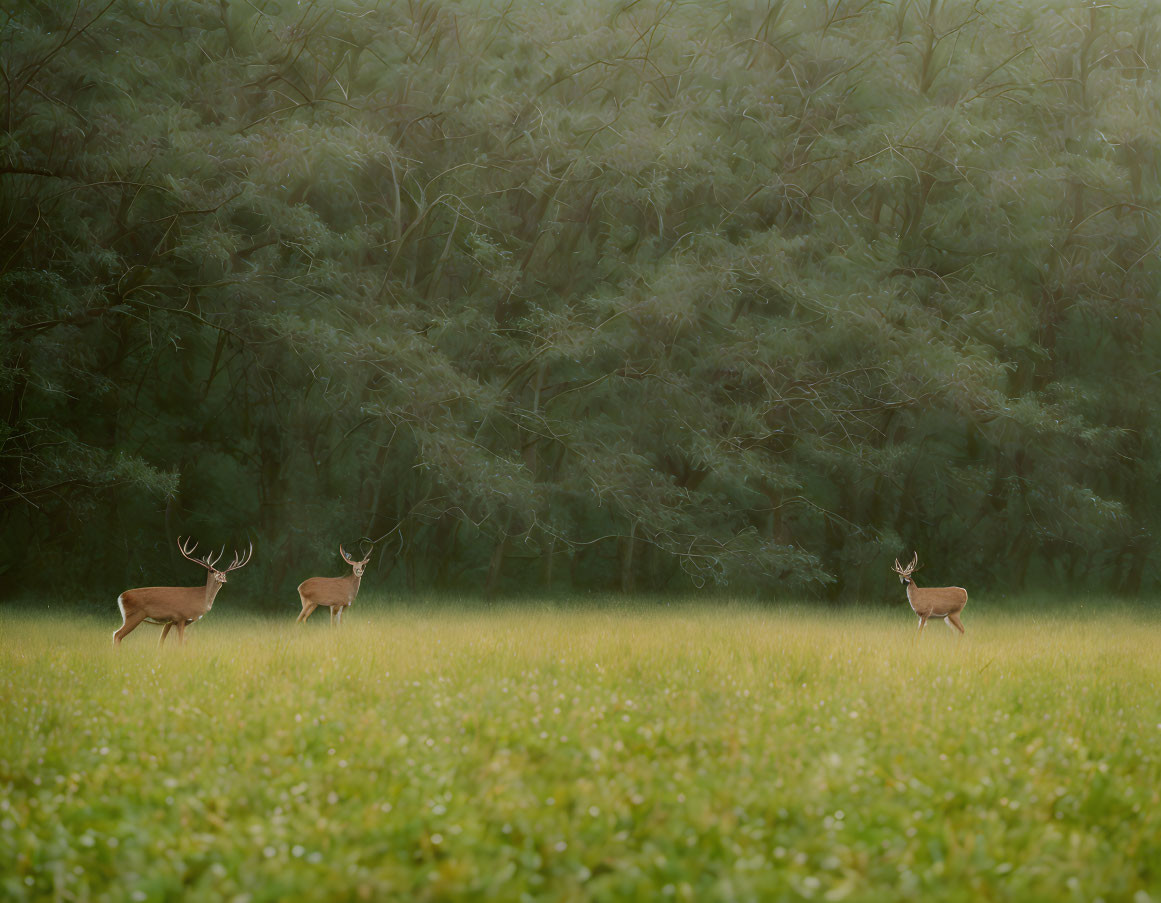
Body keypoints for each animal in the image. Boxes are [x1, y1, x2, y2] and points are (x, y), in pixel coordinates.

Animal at [113, 538, 254, 645]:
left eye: (224, 574)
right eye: (211, 571)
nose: (223, 580)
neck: (201, 598)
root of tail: (121, 596)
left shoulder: (174, 622)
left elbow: (162, 642)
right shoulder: (181, 617)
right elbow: (180, 643)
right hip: (134, 615)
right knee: (117, 635)